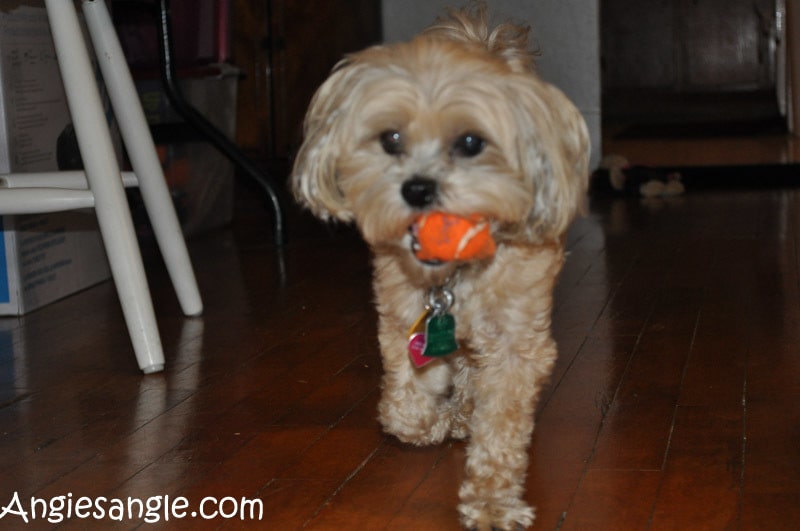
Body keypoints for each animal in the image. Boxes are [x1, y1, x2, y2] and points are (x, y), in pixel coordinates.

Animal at [290, 4, 592, 531]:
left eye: (471, 142)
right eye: (390, 138)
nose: (417, 189)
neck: (453, 276)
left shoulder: (516, 344)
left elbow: (501, 428)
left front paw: (492, 501)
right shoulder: (402, 319)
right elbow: (405, 406)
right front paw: (434, 421)